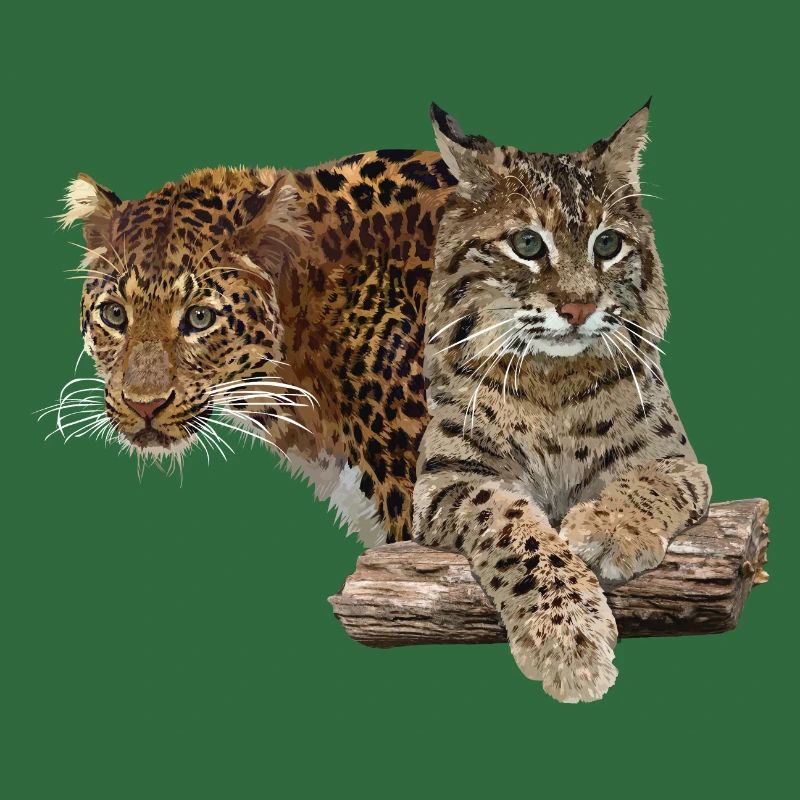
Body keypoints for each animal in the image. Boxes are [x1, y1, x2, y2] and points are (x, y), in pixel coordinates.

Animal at [412, 102, 712, 702]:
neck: (553, 377)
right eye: (528, 245)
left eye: (607, 245)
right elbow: (513, 527)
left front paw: (611, 528)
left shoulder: (678, 461)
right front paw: (568, 641)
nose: (578, 308)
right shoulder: (445, 480)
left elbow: (648, 481)